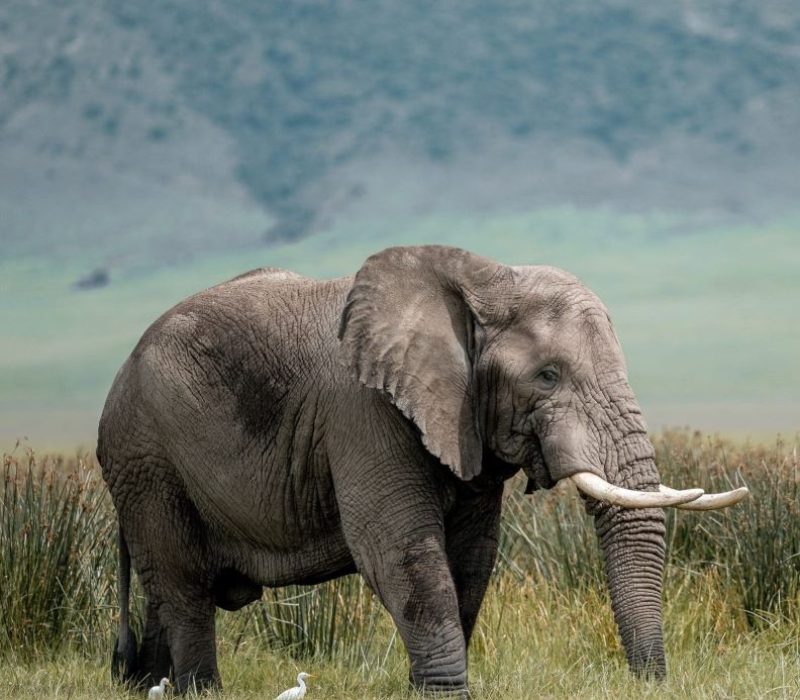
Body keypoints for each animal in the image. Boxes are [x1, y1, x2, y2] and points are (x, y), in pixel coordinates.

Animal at [96, 245, 747, 695]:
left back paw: (144, 686)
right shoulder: (360, 410)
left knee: (166, 587)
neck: (485, 277)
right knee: (183, 584)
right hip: (147, 456)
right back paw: (200, 692)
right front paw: (446, 693)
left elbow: (473, 555)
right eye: (548, 376)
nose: (649, 682)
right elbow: (396, 545)